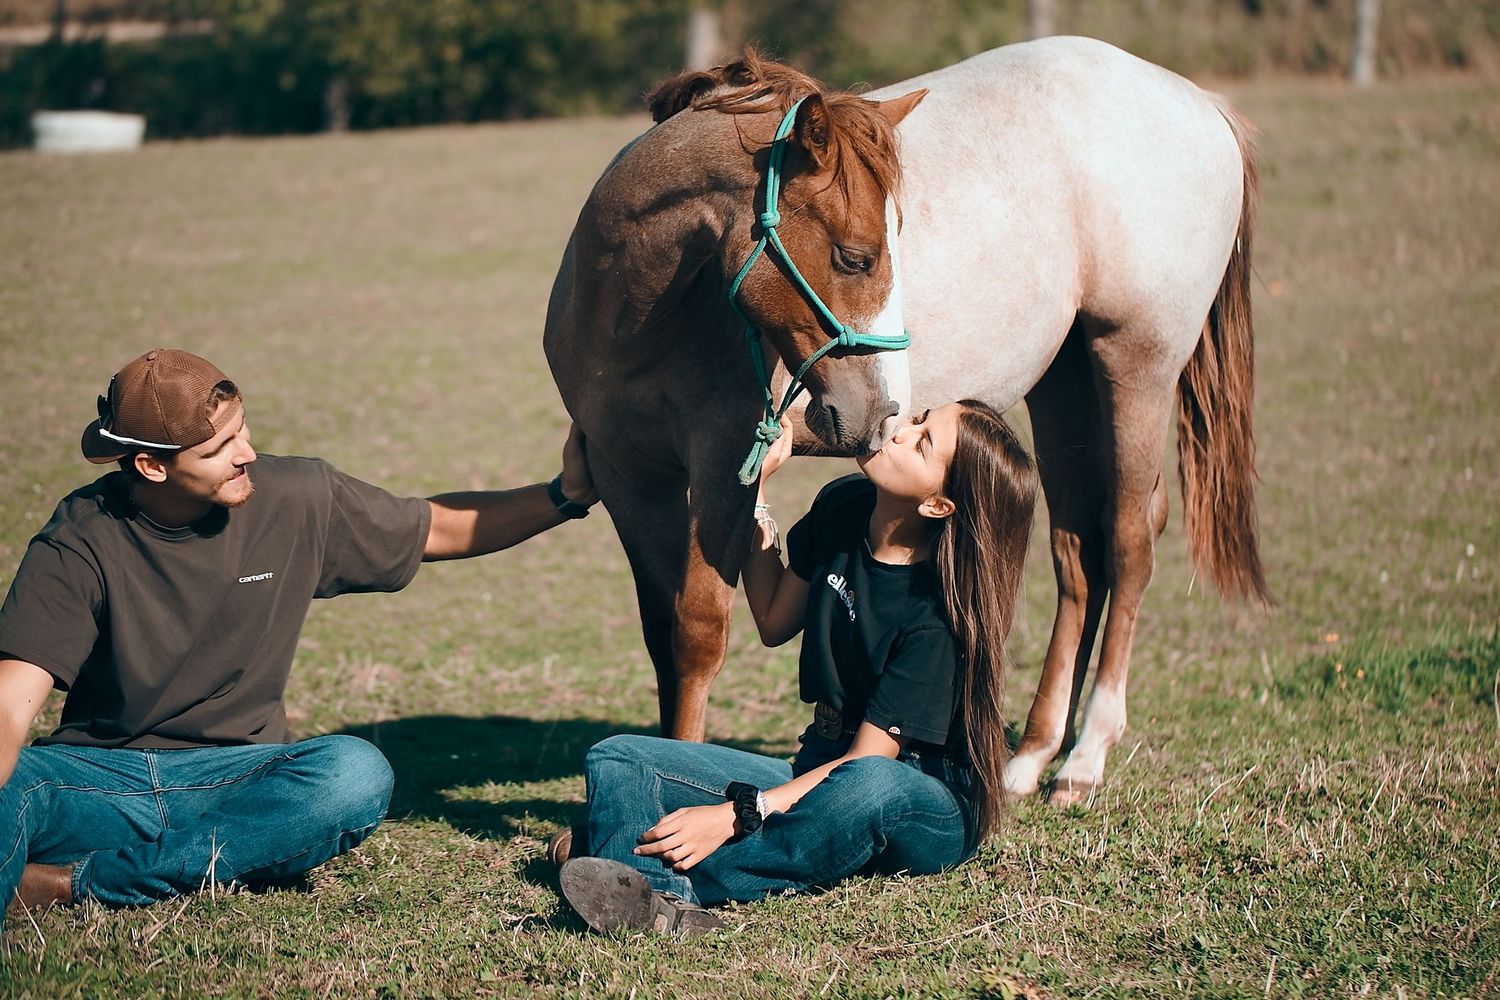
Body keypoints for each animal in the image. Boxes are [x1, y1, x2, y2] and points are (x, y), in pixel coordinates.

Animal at [543, 36, 1269, 806]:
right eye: (856, 257)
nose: (886, 411)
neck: (636, 309)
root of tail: (1199, 102)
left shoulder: (721, 470)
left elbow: (698, 633)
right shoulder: (629, 478)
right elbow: (662, 635)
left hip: (1135, 364)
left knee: (1130, 541)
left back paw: (1084, 758)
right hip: (1065, 381)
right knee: (1078, 554)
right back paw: (1030, 758)